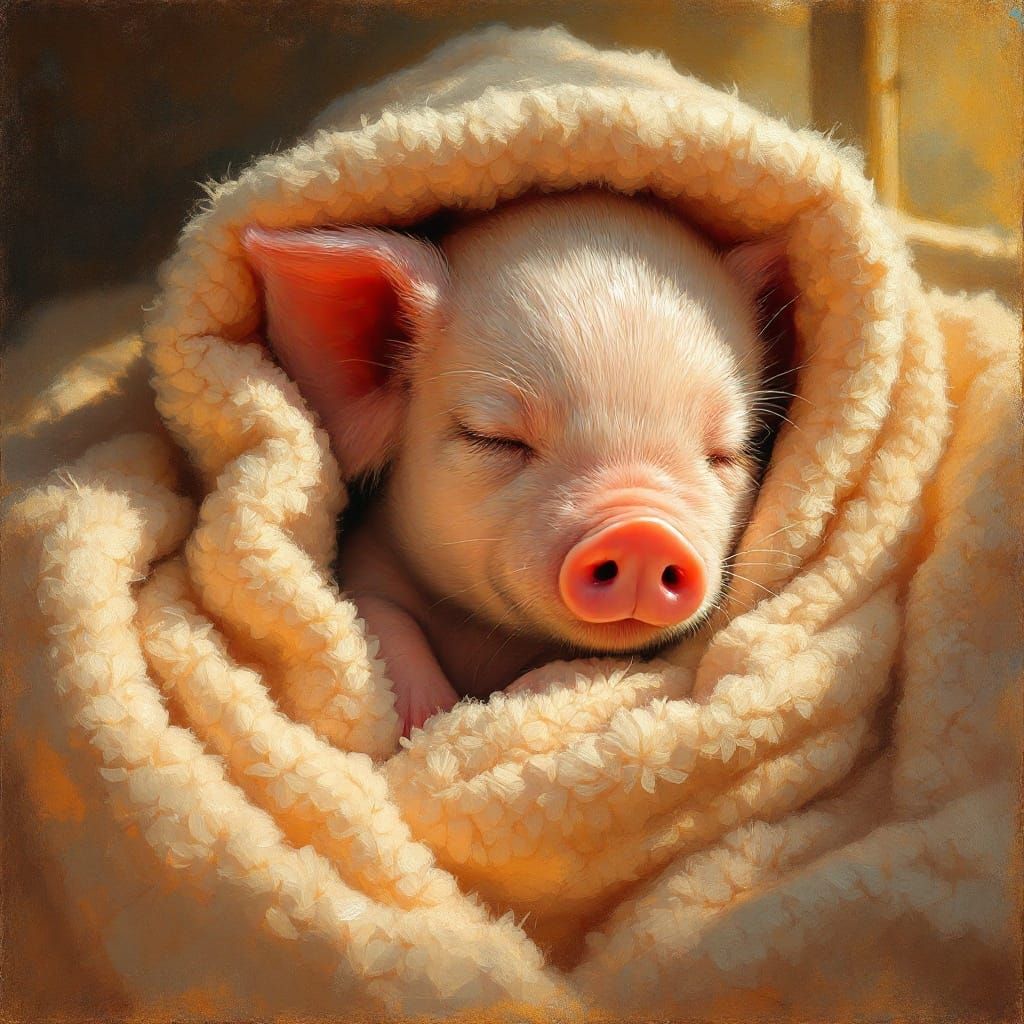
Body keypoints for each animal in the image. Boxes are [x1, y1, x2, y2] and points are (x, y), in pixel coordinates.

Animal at [242, 190, 783, 736]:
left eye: (728, 451)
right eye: (494, 438)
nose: (642, 533)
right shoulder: (363, 568)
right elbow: (379, 619)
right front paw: (431, 720)